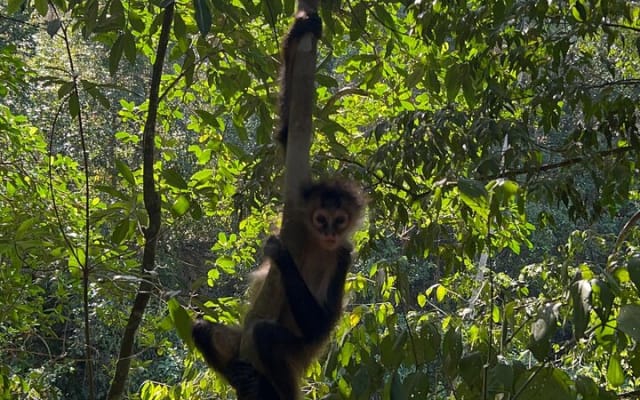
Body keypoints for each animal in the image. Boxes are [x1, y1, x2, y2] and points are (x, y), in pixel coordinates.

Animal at [192, 179, 365, 400]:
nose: (330, 233)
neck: (315, 243)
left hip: (301, 351)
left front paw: (282, 256)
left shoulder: (342, 255)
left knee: (265, 334)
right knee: (201, 329)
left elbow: (321, 324)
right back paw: (239, 378)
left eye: (340, 220)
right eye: (321, 219)